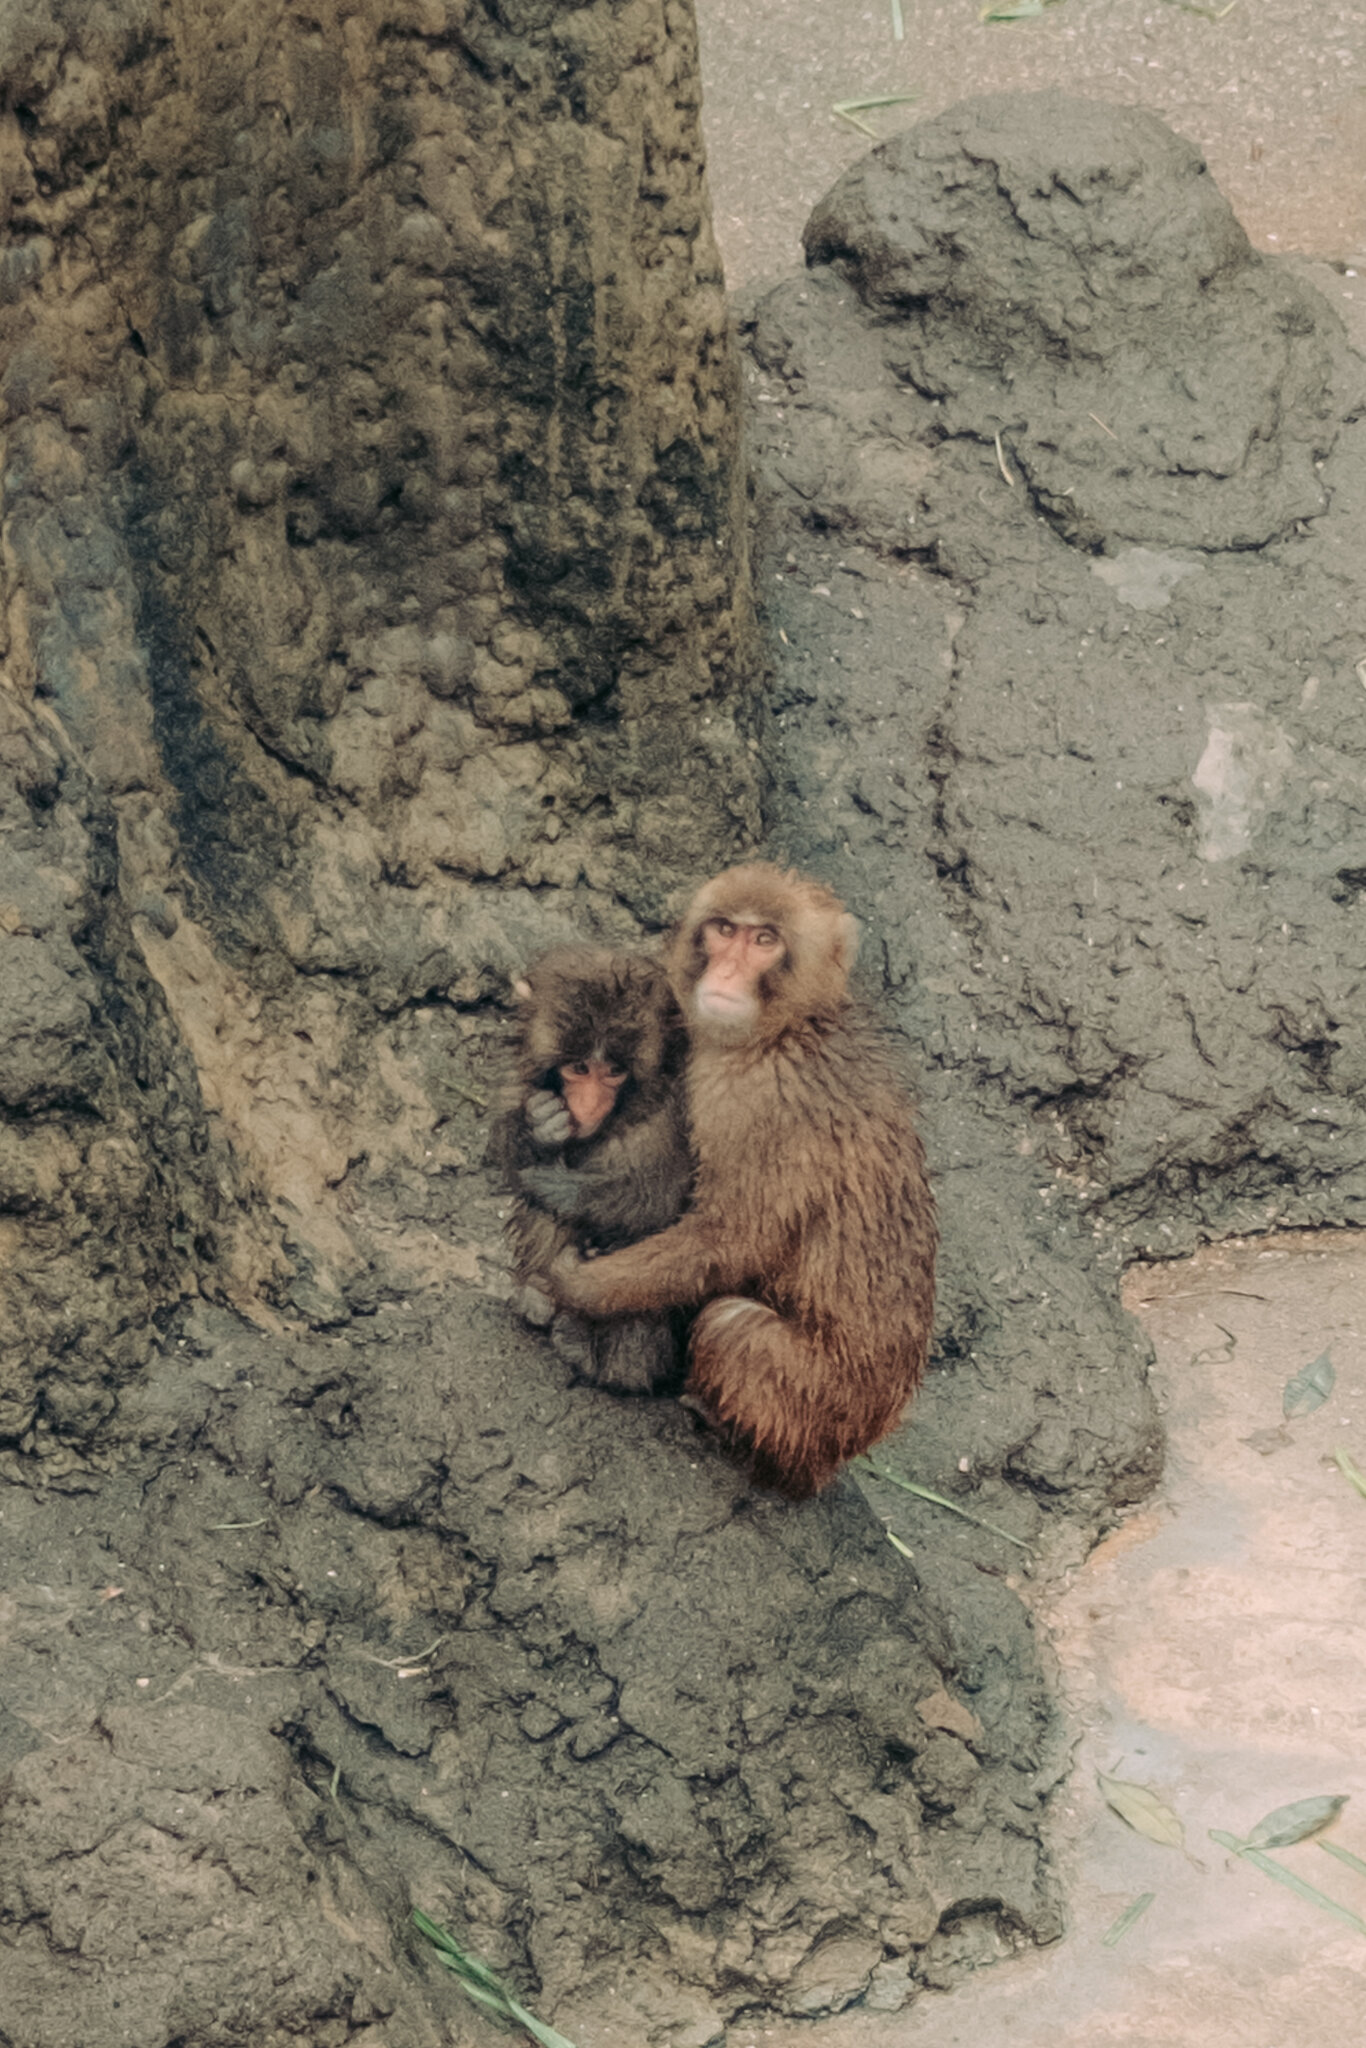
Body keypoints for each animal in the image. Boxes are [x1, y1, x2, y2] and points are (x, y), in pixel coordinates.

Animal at [498, 946, 694, 1394]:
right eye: (579, 1069)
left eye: (614, 1072)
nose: (587, 1105)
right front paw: (539, 1126)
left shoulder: (672, 1115)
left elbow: (657, 1199)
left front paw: (557, 1185)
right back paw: (538, 1298)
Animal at [546, 864, 937, 1497]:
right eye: (725, 930)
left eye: (764, 941)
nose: (726, 972)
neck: (784, 1031)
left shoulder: (757, 1103)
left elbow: (731, 1238)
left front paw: (578, 1285)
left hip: (817, 1409)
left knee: (733, 1325)